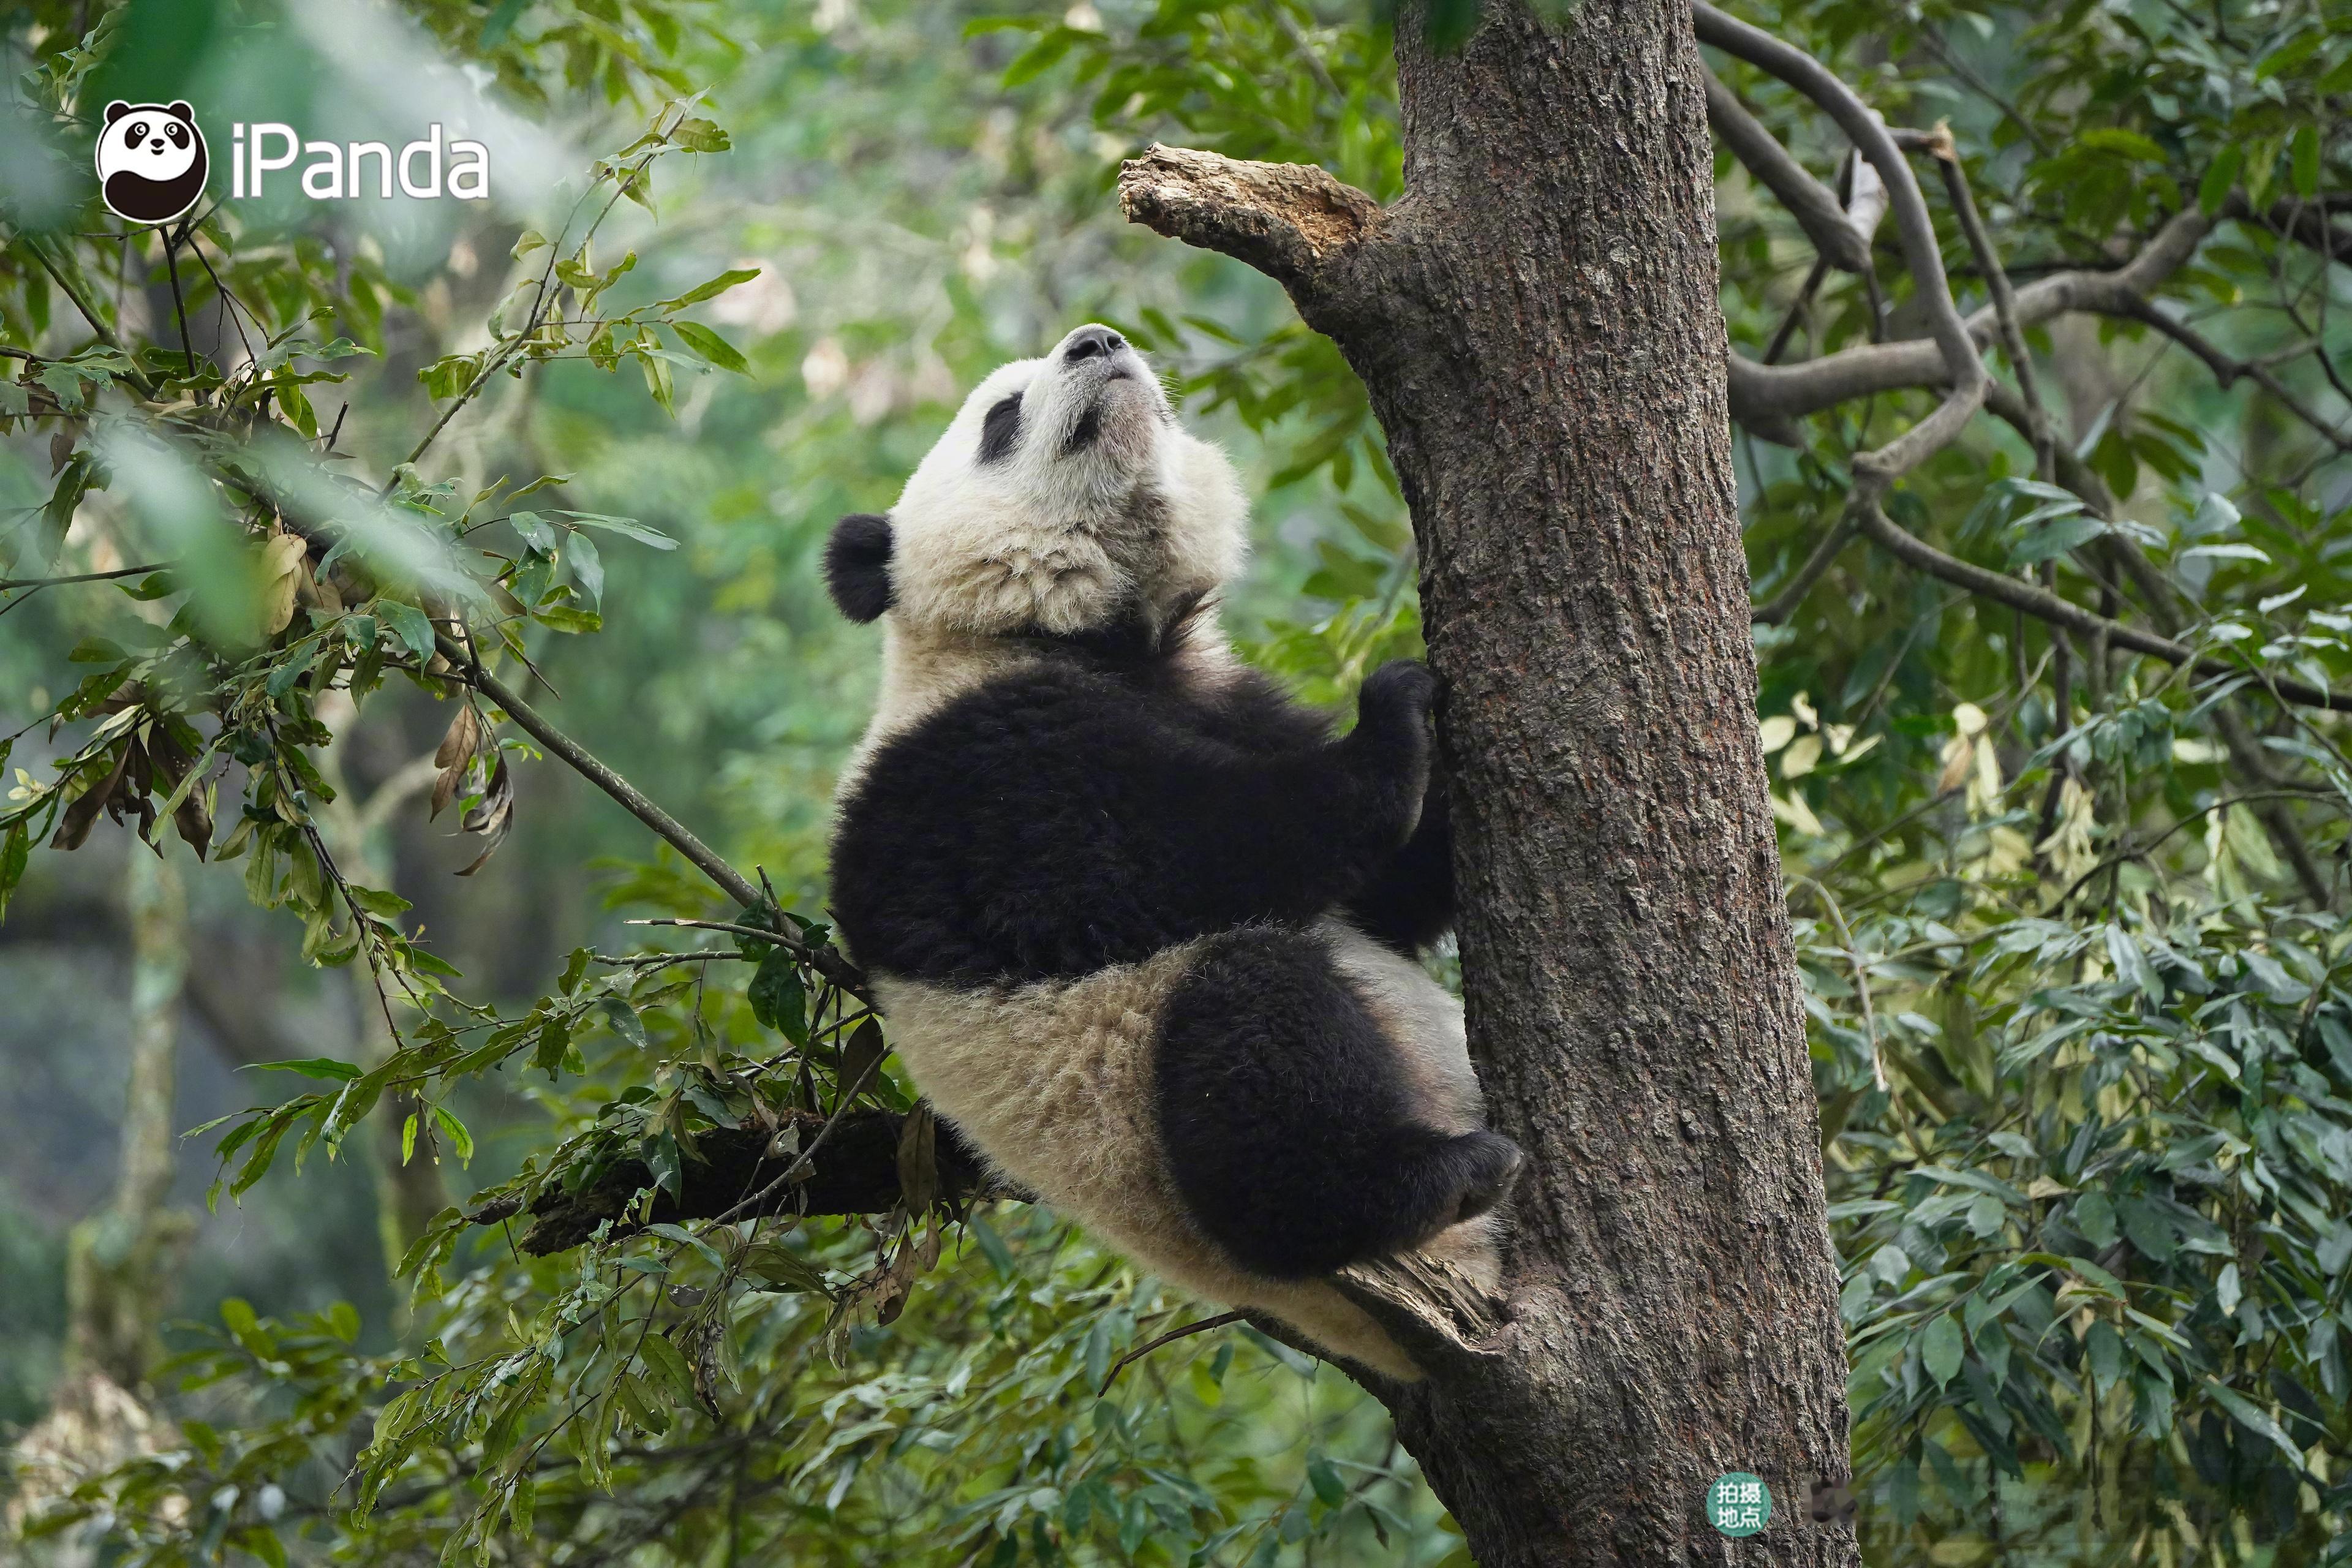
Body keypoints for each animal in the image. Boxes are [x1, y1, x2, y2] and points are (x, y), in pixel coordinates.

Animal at [827, 324, 1524, 1382]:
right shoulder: (973, 773)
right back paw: (1430, 1179)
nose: (1097, 341)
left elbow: (1390, 896)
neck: (1078, 636)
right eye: (1001, 416)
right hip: (1141, 1116)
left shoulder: (1226, 697)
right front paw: (1394, 707)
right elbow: (1187, 854)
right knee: (1254, 1045)